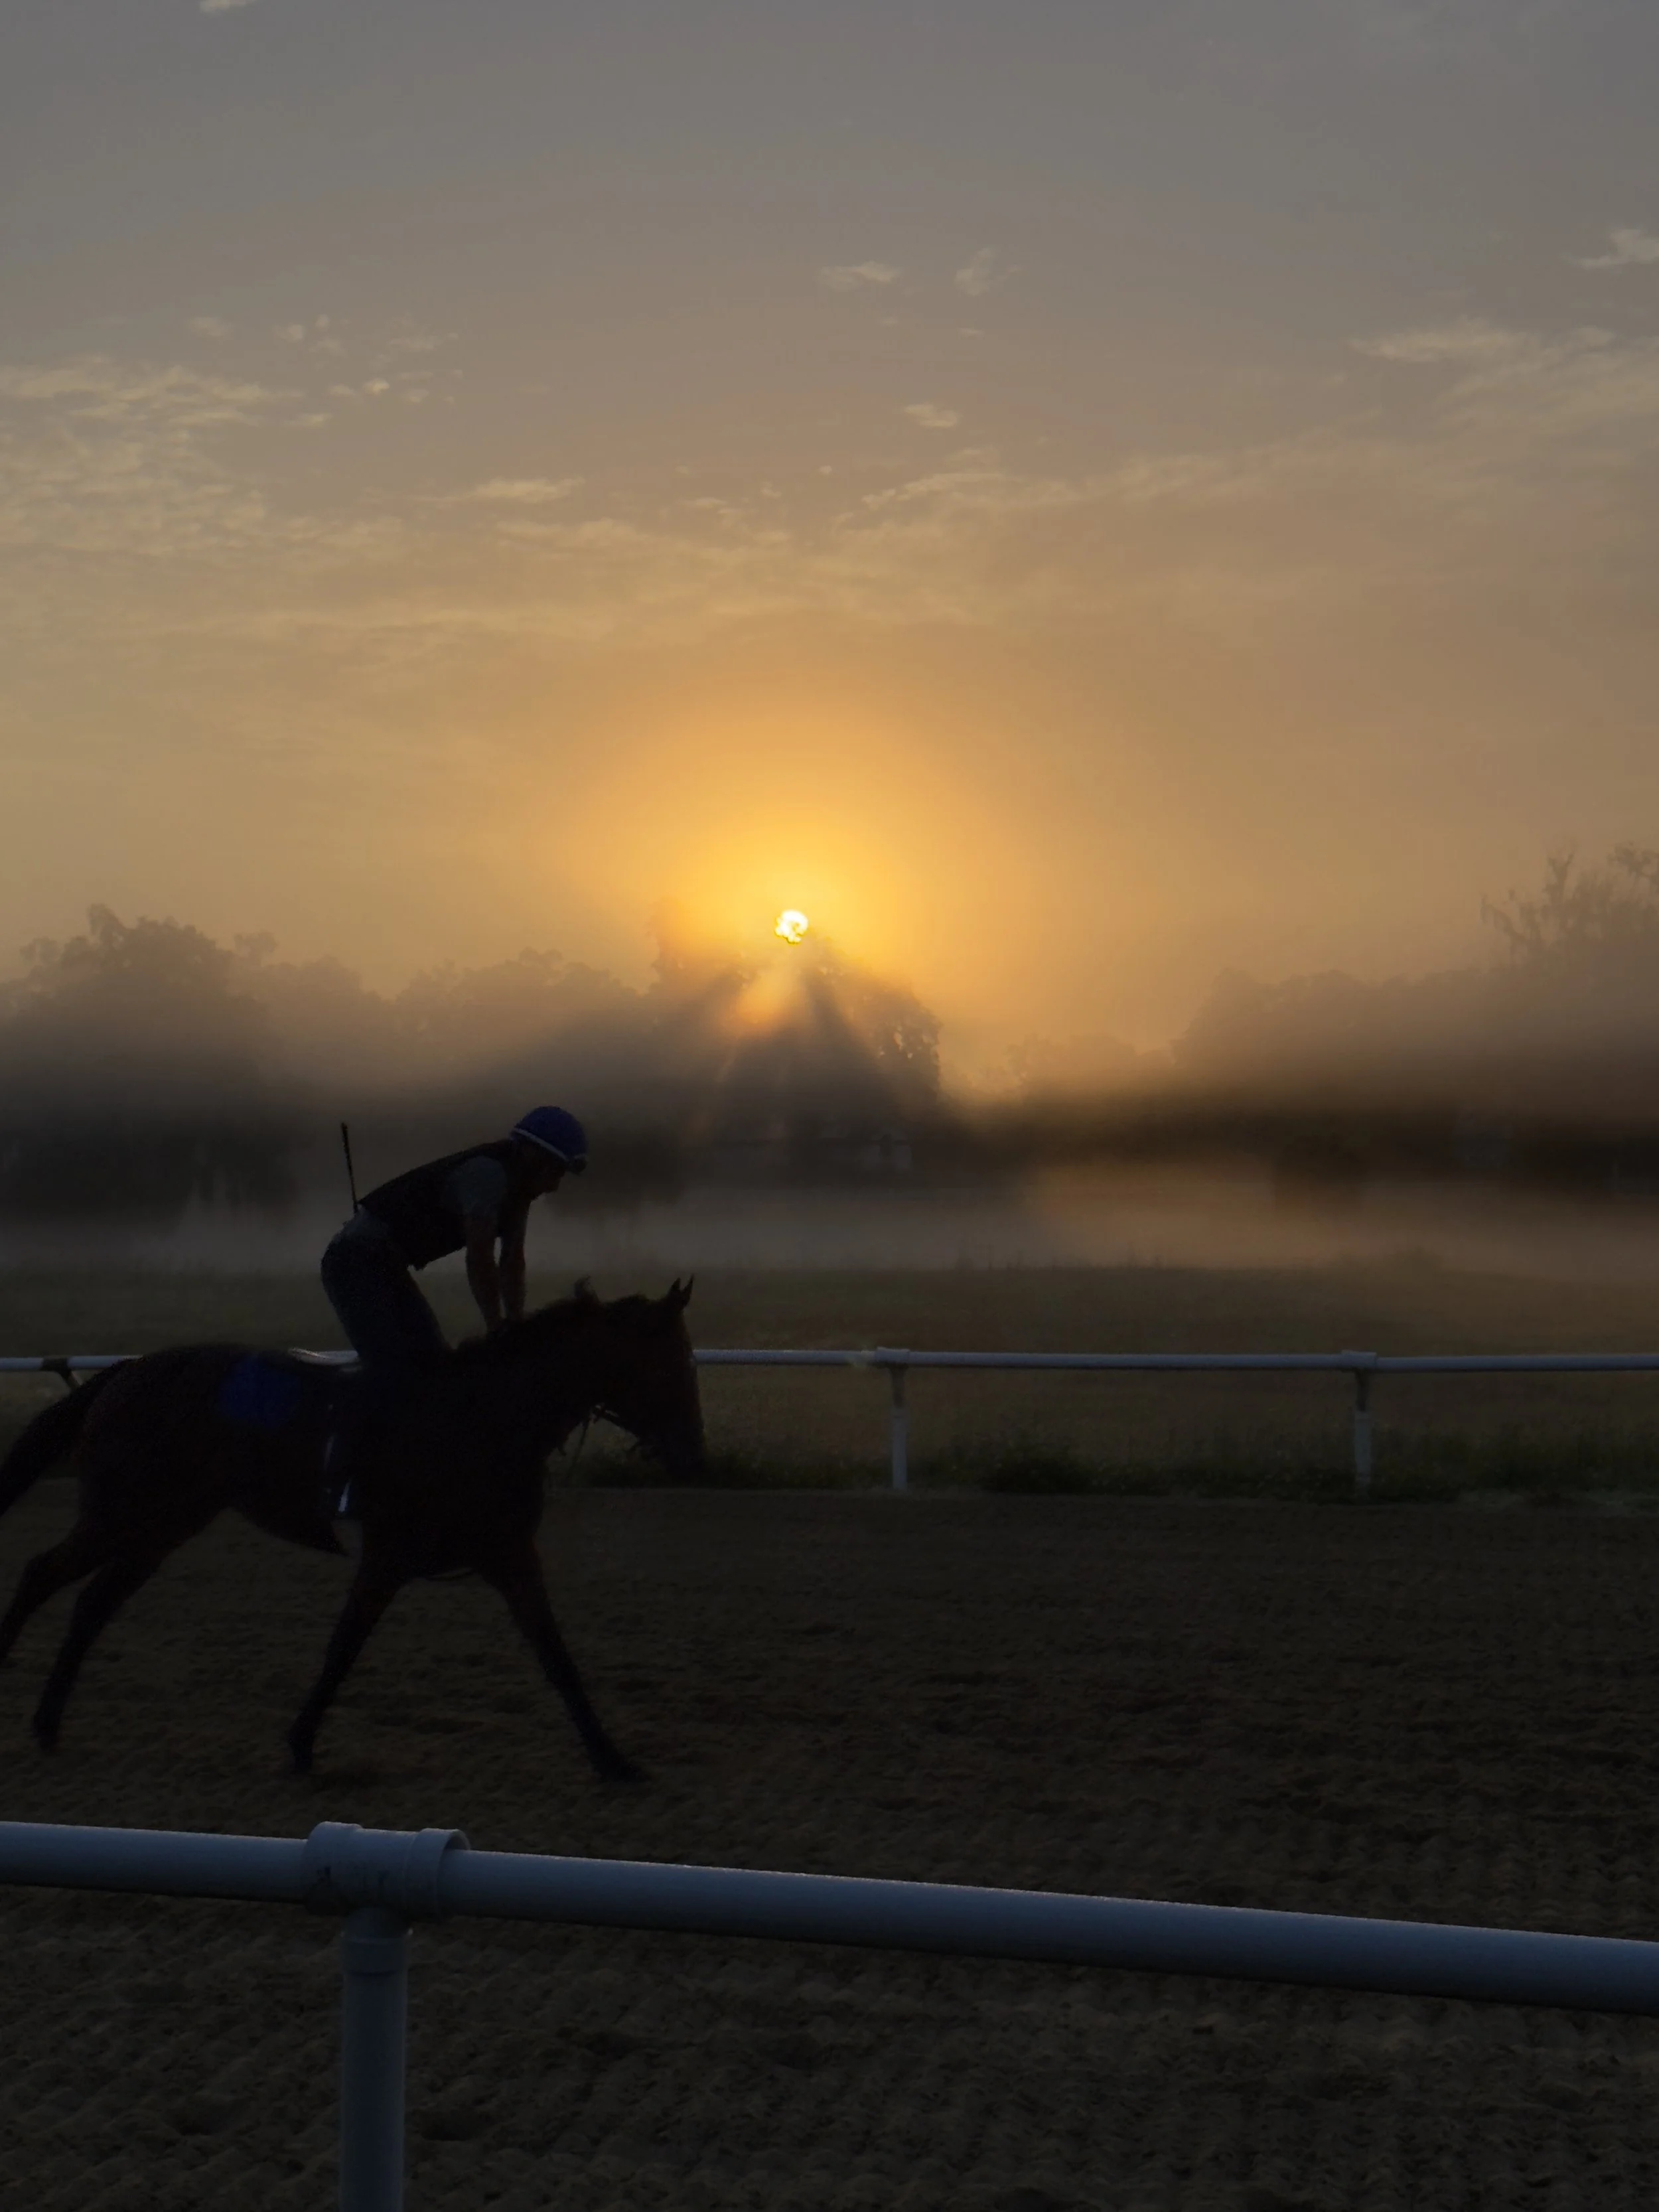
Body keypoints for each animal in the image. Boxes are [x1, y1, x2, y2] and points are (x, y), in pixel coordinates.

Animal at [0, 1280, 704, 1781]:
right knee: (41, 1573)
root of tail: (126, 1370)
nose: (693, 1455)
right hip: (119, 1514)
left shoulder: (508, 1552)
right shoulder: (388, 1556)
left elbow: (557, 1656)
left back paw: (48, 1723)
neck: (483, 1418)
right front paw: (300, 1744)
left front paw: (613, 1759)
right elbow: (343, 1646)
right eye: (670, 1364)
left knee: (92, 1603)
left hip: (162, 1526)